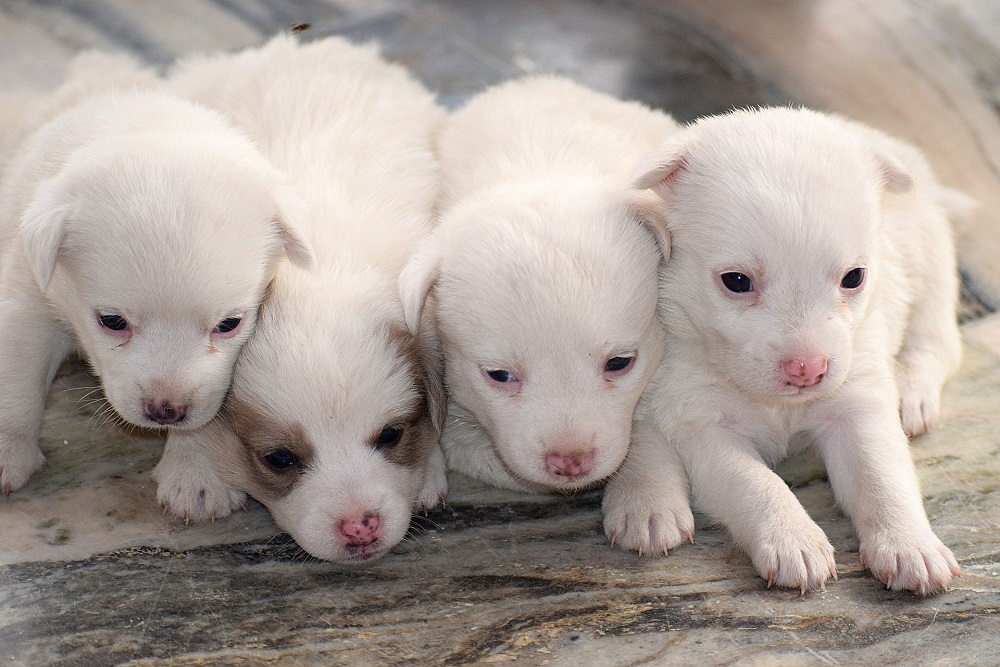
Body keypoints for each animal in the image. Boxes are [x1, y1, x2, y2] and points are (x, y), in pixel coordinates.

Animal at [0, 72, 310, 496]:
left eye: (229, 324)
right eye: (112, 322)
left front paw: (194, 473)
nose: (166, 410)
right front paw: (9, 452)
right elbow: (17, 383)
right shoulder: (27, 303)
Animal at [158, 32, 448, 564]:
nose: (360, 528)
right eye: (280, 458)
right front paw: (192, 470)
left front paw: (430, 469)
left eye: (392, 435)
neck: (320, 272)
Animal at [398, 78, 688, 540]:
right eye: (499, 375)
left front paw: (648, 498)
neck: (541, 170)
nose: (570, 462)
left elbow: (645, 424)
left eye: (620, 363)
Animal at [620, 108, 964, 596]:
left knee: (935, 345)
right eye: (736, 281)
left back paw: (913, 394)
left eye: (854, 277)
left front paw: (910, 545)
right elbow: (756, 482)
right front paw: (793, 539)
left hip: (932, 270)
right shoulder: (701, 424)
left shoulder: (856, 403)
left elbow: (883, 478)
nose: (808, 370)